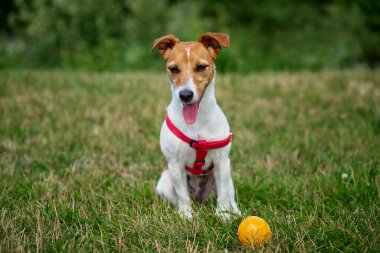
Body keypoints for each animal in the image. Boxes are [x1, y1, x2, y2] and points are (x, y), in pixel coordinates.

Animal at [151, 33, 240, 219]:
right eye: (173, 69)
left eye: (201, 67)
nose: (185, 95)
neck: (197, 123)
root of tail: (200, 198)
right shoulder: (175, 164)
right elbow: (182, 195)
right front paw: (186, 216)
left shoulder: (222, 161)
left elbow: (223, 195)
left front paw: (223, 216)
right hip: (164, 184)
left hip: (228, 175)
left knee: (229, 194)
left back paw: (235, 211)